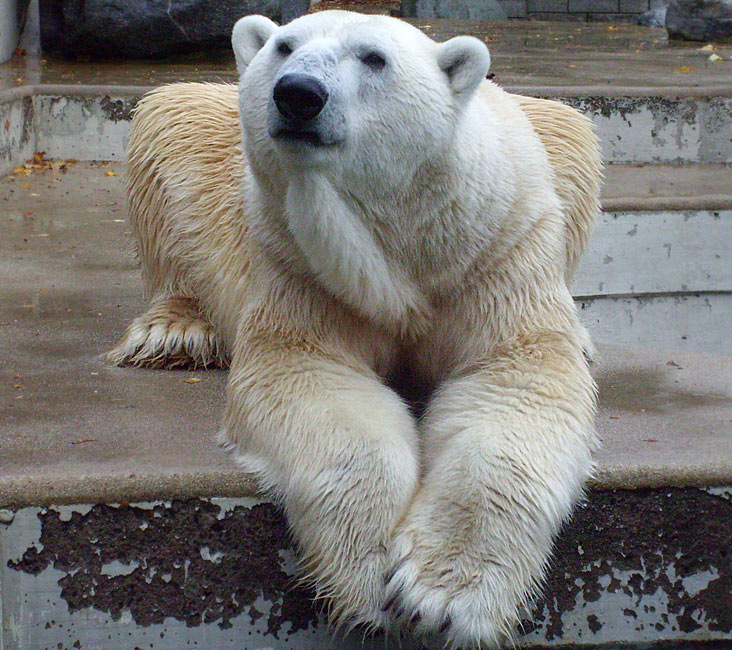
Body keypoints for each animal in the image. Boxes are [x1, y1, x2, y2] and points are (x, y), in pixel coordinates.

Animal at [107, 11, 600, 648]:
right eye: (284, 45)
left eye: (373, 58)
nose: (298, 94)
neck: (405, 239)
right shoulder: (301, 263)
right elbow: (311, 373)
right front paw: (369, 571)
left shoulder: (493, 249)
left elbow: (517, 374)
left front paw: (439, 596)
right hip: (206, 157)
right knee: (168, 117)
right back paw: (176, 332)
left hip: (550, 146)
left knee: (572, 133)